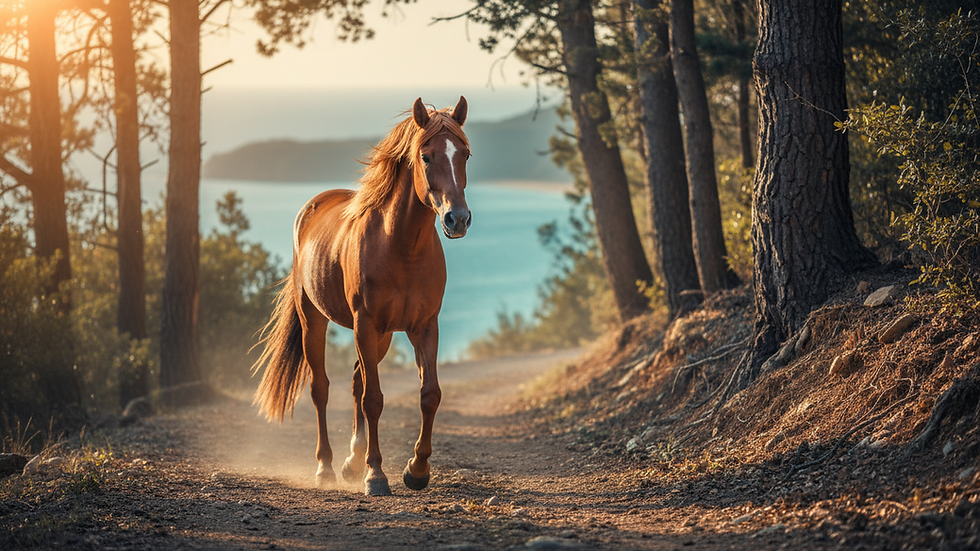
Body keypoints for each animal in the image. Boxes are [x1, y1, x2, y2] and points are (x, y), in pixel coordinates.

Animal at [251, 97, 471, 496]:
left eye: (464, 153)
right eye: (426, 156)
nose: (457, 219)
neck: (402, 247)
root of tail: (312, 206)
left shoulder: (424, 327)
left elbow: (429, 394)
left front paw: (417, 470)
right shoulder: (365, 325)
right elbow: (374, 399)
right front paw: (376, 475)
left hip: (381, 337)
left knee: (355, 380)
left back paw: (352, 462)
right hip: (317, 322)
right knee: (321, 389)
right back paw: (325, 467)